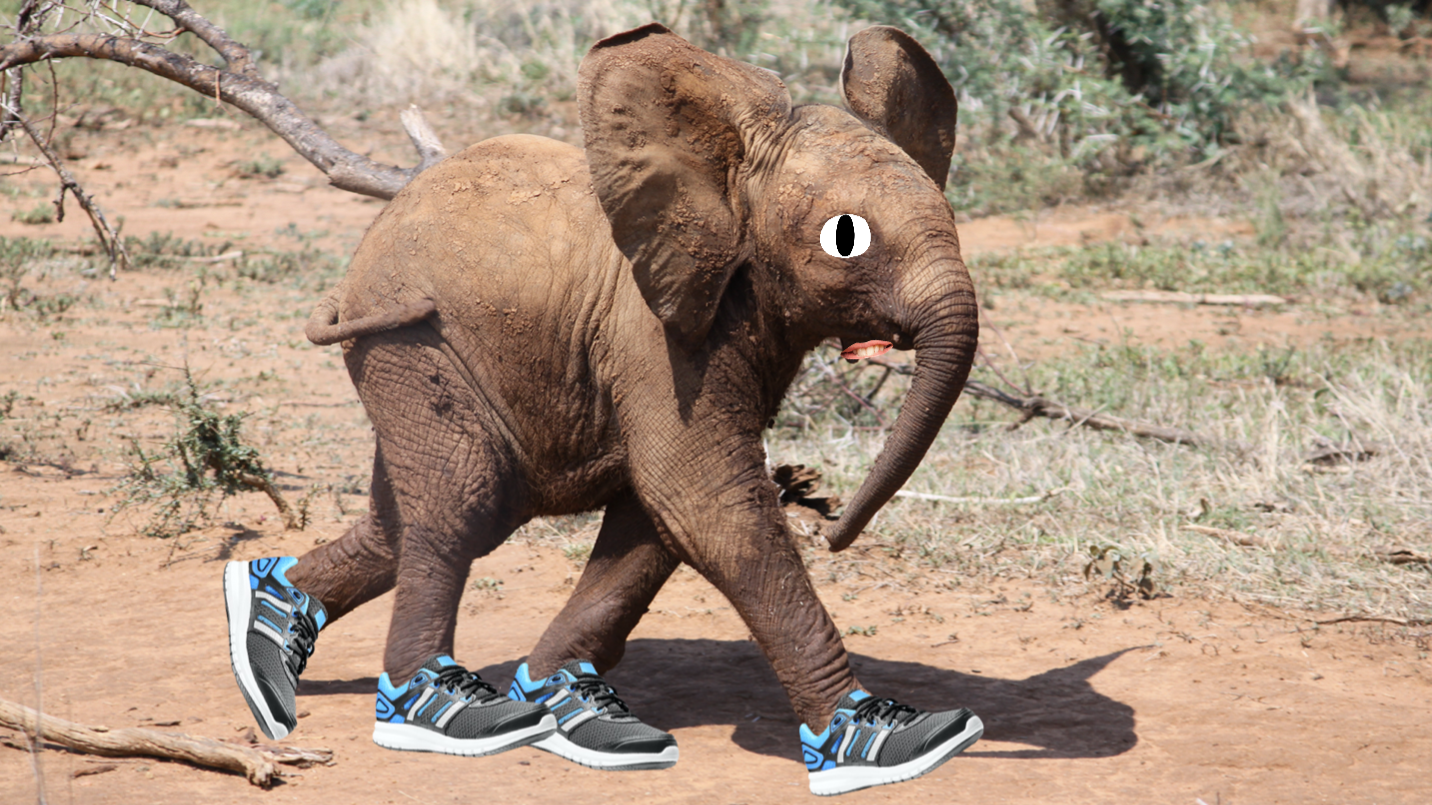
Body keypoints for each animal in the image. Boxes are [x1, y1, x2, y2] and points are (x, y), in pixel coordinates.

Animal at [226, 21, 985, 790]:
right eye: (845, 238)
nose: (831, 526)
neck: (726, 177)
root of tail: (356, 261)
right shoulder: (653, 334)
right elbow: (702, 497)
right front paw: (883, 738)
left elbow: (658, 514)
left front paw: (564, 696)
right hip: (409, 338)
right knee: (462, 501)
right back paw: (436, 710)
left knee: (410, 517)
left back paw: (270, 634)